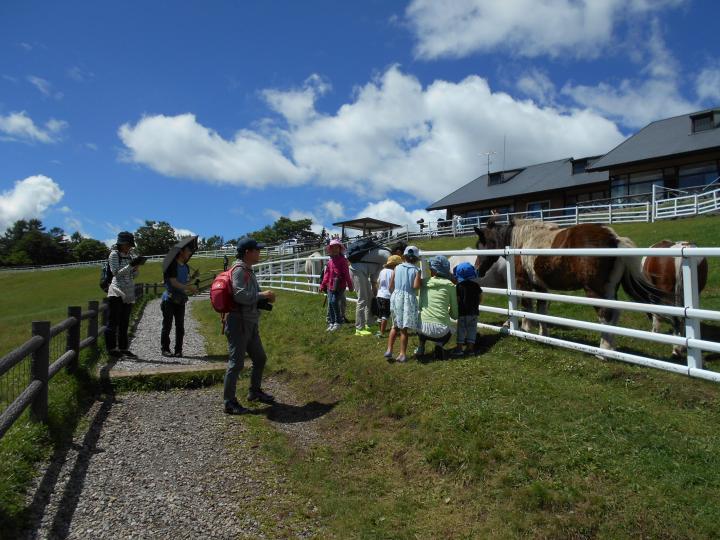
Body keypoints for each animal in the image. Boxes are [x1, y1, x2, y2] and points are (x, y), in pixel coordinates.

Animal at [476, 217, 668, 352]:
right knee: (614, 314)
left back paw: (603, 351)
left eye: (480, 245)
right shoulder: (540, 286)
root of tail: (614, 239)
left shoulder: (524, 284)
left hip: (594, 290)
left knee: (605, 315)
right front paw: (543, 335)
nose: (477, 269)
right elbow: (542, 311)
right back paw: (611, 348)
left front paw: (525, 331)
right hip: (609, 289)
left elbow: (527, 309)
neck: (519, 242)